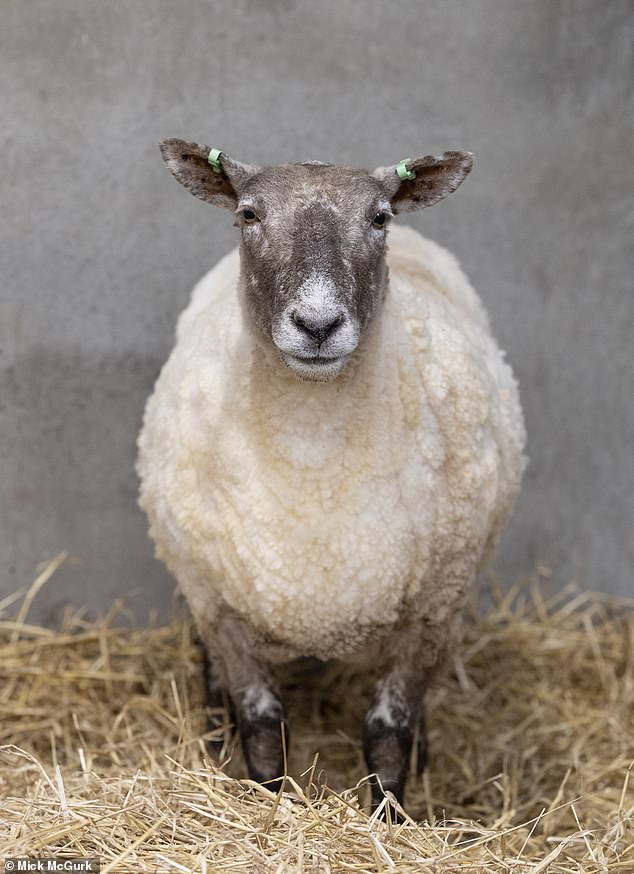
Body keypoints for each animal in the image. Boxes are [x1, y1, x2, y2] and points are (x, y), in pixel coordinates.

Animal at [136, 140, 524, 816]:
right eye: (247, 213)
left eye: (379, 218)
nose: (317, 325)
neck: (312, 460)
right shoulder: (219, 605)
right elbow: (264, 728)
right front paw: (266, 804)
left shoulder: (432, 609)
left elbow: (388, 732)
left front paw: (390, 818)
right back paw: (211, 740)